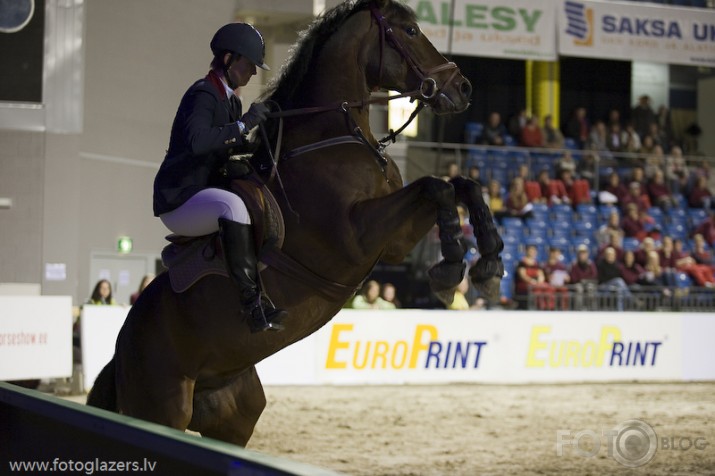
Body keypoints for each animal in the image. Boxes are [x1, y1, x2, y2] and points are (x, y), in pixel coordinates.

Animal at [88, 0, 504, 446]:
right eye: (410, 31)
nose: (463, 88)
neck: (333, 135)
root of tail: (120, 349)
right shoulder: (358, 235)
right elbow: (437, 187)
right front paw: (451, 267)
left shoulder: (392, 240)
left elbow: (461, 185)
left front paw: (489, 264)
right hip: (162, 408)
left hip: (232, 412)